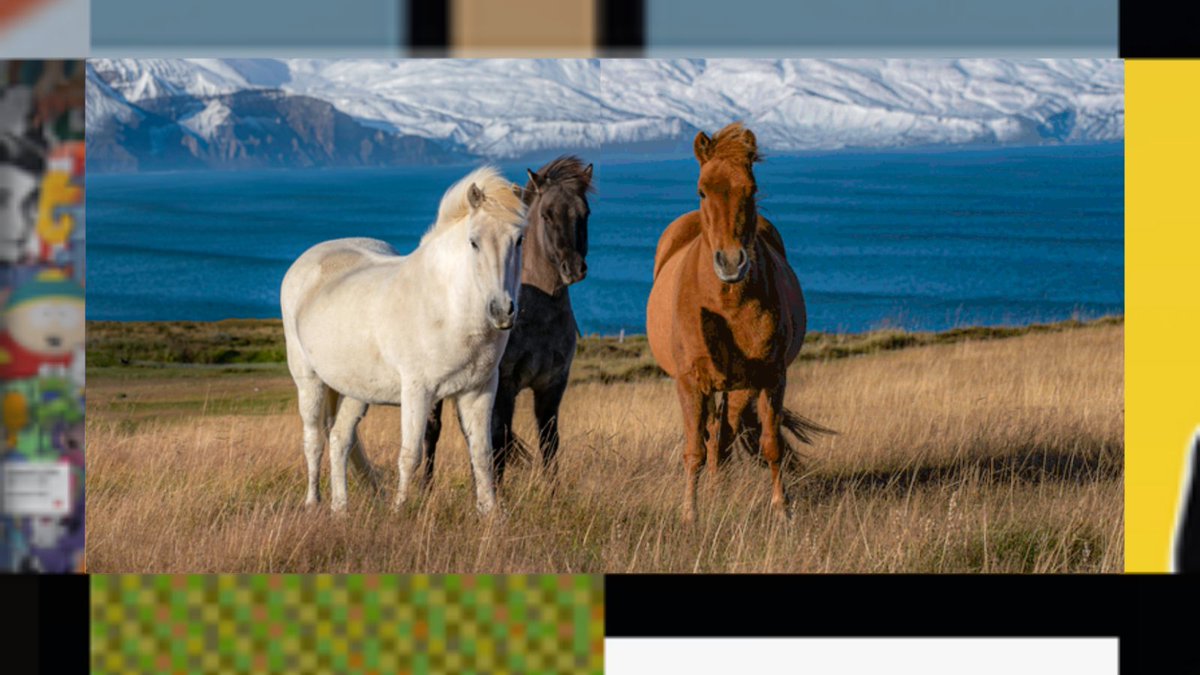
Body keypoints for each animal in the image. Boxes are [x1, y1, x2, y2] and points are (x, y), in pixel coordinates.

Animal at [280, 165, 527, 514]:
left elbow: (482, 454)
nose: (502, 311)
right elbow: (410, 455)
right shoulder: (417, 390)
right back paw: (313, 503)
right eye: (473, 242)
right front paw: (400, 510)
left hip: (355, 390)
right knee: (314, 440)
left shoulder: (479, 390)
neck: (446, 305)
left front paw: (491, 513)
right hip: (309, 380)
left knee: (341, 438)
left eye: (518, 239)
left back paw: (341, 508)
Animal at [424, 156, 594, 483]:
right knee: (431, 432)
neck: (539, 317)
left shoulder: (551, 387)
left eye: (585, 213)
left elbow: (549, 443)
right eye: (547, 215)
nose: (573, 268)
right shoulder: (505, 387)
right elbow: (498, 444)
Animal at [646, 122, 832, 522]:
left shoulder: (770, 378)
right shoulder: (690, 383)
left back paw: (720, 491)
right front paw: (690, 513)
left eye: (753, 188)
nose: (731, 263)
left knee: (724, 436)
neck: (727, 306)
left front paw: (782, 509)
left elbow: (771, 444)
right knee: (713, 437)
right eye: (702, 190)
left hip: (738, 388)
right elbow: (694, 450)